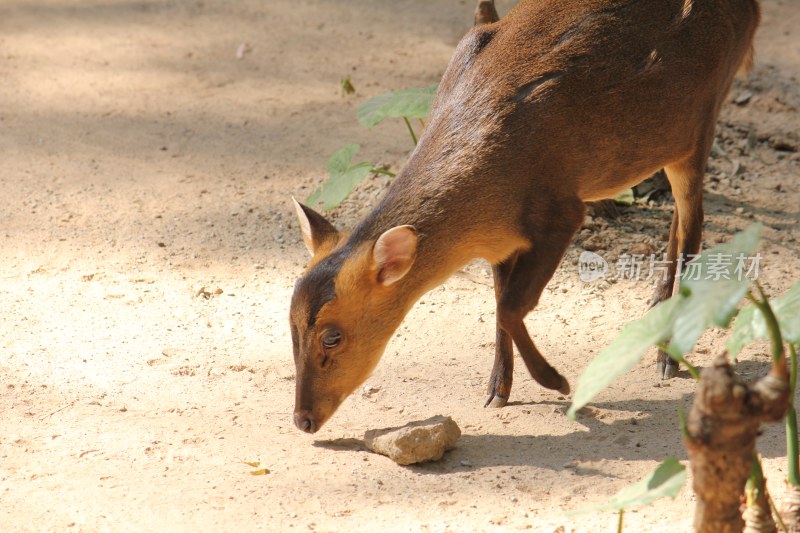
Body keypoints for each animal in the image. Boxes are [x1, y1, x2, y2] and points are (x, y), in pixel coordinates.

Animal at [286, 0, 756, 432]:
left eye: (333, 335)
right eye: (288, 326)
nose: (302, 419)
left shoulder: (561, 210)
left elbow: (511, 305)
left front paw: (557, 382)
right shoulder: (501, 238)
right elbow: (498, 303)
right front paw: (498, 389)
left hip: (700, 122)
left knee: (695, 224)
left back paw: (668, 355)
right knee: (681, 217)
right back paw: (658, 299)